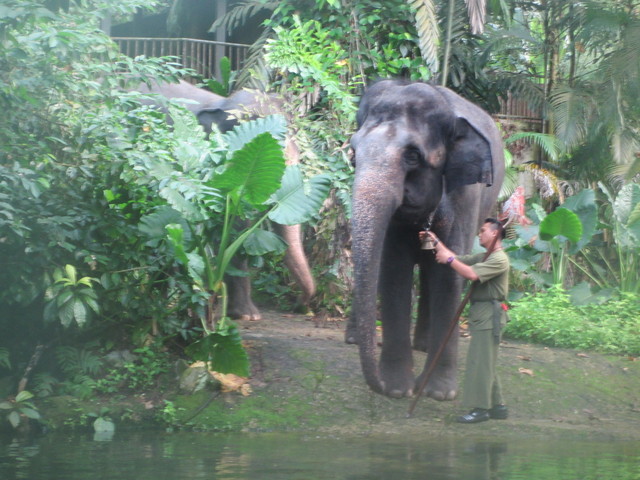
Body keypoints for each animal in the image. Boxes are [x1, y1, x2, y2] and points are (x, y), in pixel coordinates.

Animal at [344, 79, 504, 402]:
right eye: (353, 152)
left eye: (412, 156)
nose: (378, 385)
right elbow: (393, 270)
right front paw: (397, 389)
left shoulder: (465, 197)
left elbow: (449, 274)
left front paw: (439, 393)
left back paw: (424, 347)